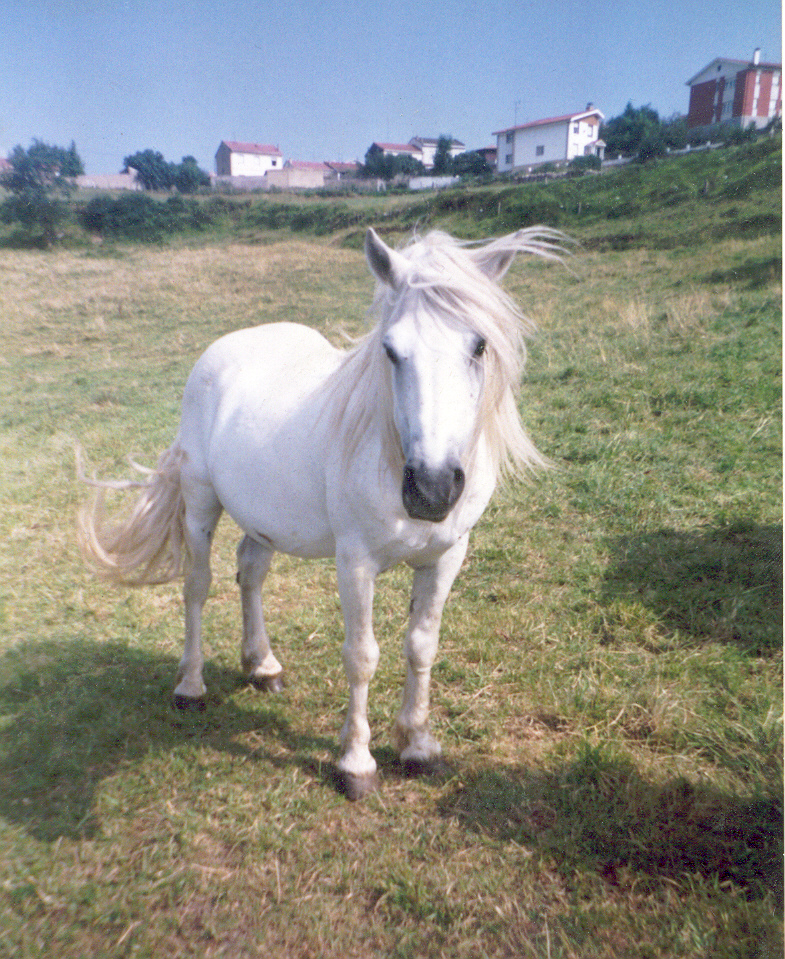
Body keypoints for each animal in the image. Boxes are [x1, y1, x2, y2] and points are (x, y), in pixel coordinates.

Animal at [78, 226, 565, 800]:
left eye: (479, 345)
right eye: (391, 350)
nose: (431, 487)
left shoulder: (447, 556)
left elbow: (421, 646)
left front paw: (418, 745)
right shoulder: (354, 562)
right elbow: (362, 656)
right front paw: (355, 763)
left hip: (261, 518)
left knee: (250, 573)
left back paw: (262, 666)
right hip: (201, 503)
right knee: (197, 588)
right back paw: (191, 688)